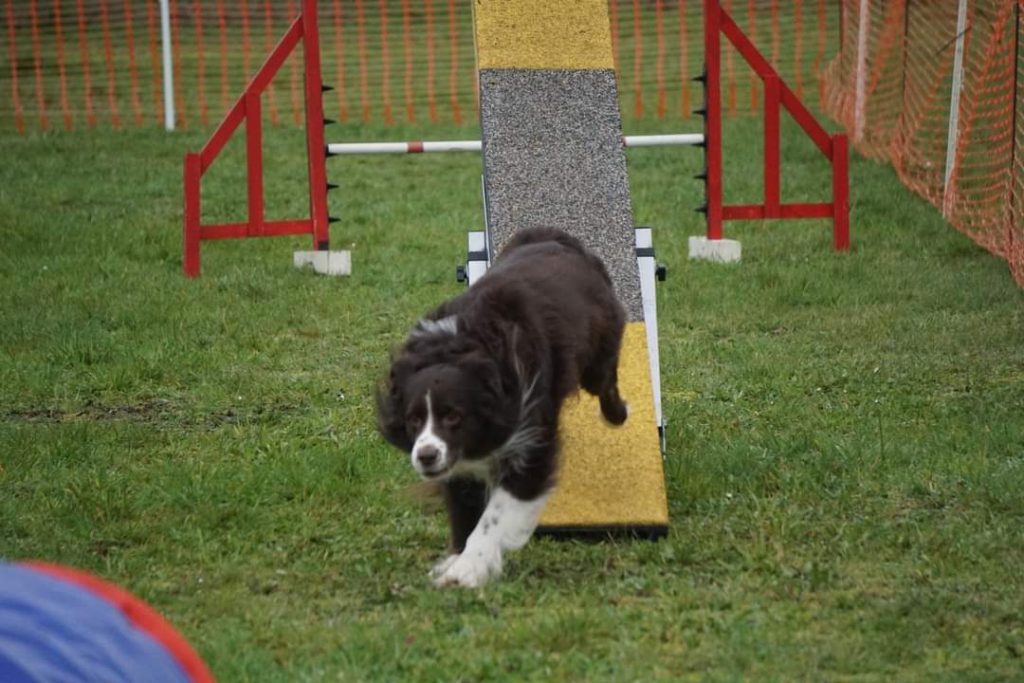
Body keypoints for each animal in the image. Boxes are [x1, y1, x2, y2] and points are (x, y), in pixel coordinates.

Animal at [376, 228, 626, 589]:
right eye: (413, 419)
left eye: (454, 416)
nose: (426, 456)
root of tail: (555, 237)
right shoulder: (459, 461)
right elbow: (464, 507)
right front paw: (455, 560)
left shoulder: (530, 433)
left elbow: (496, 513)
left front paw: (468, 568)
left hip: (599, 344)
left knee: (605, 380)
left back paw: (617, 415)